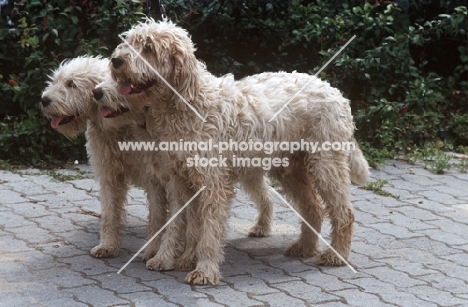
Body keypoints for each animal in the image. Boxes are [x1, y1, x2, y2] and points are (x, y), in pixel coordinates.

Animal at [110, 19, 370, 286]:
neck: (189, 104)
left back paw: (337, 255)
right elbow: (182, 224)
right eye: (128, 41)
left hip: (326, 165)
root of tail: (336, 92)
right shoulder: (180, 180)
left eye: (148, 48)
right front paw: (170, 259)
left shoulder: (213, 183)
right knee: (314, 207)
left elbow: (208, 229)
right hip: (290, 169)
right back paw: (305, 247)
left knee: (344, 212)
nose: (116, 61)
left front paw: (204, 269)